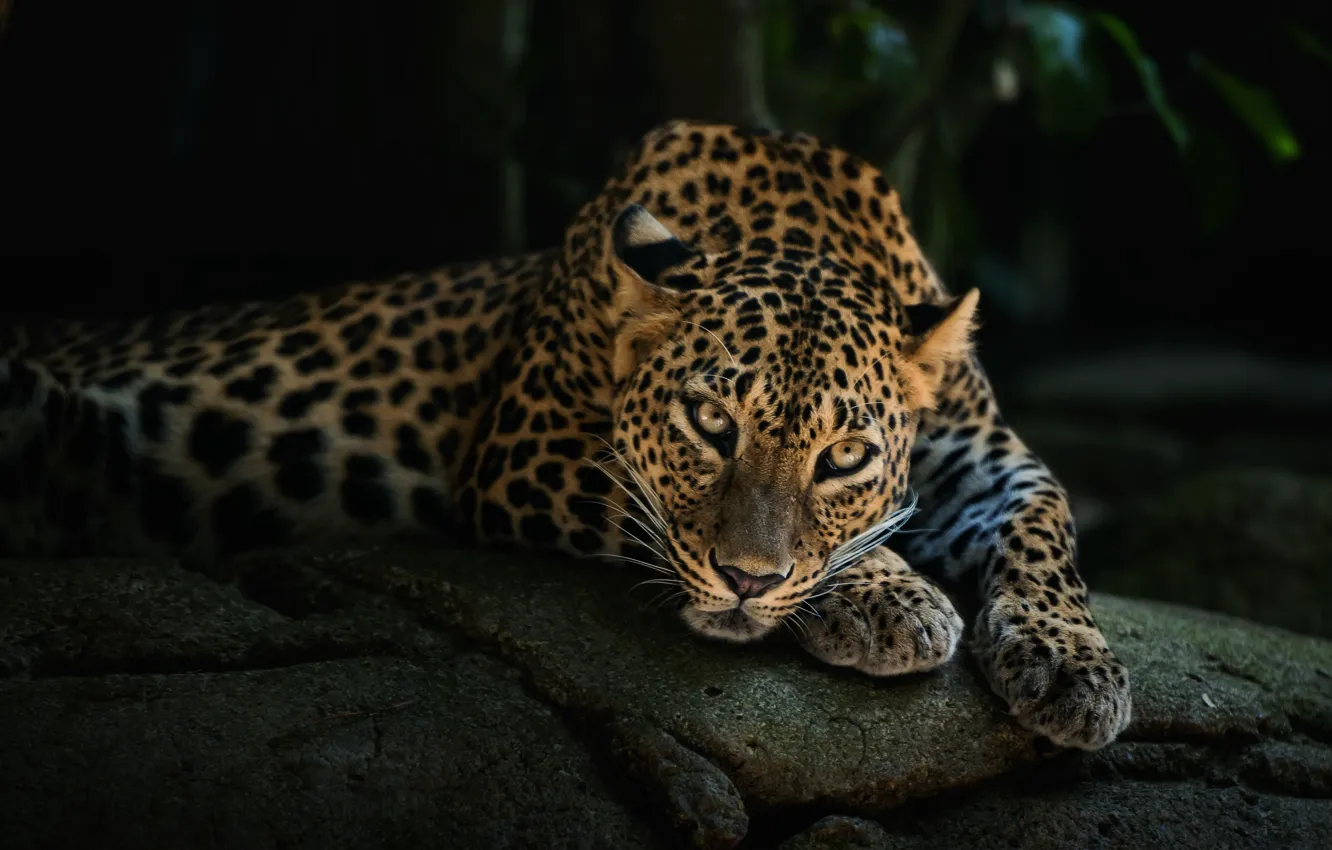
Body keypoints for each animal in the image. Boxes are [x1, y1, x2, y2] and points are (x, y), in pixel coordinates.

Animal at [0, 120, 1131, 750]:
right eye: (709, 423)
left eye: (844, 456)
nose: (749, 583)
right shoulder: (525, 449)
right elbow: (663, 514)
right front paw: (892, 596)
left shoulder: (984, 455)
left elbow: (1048, 523)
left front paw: (1073, 665)